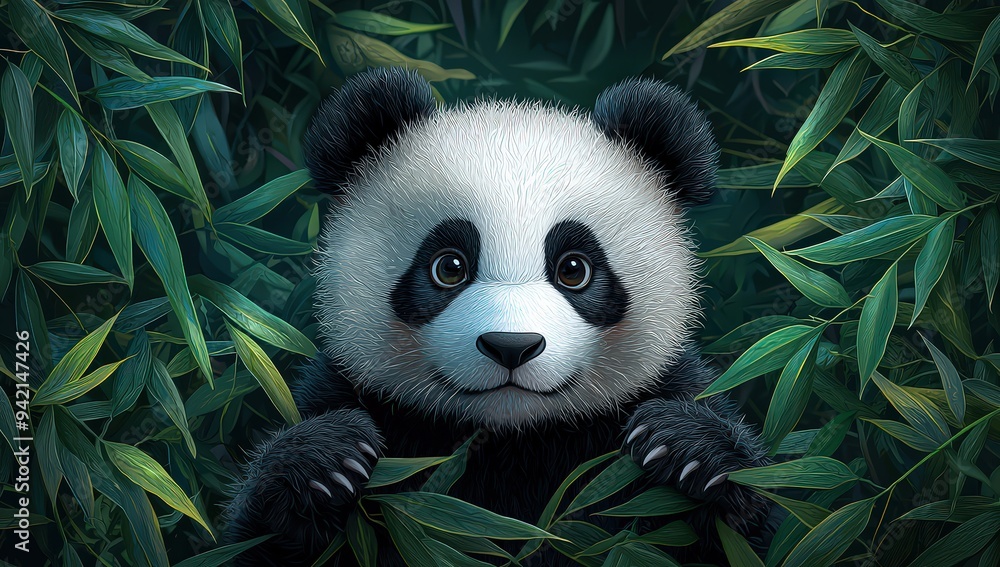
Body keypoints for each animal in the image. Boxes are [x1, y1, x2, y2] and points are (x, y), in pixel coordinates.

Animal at [226, 66, 771, 566]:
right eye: (449, 266)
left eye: (574, 269)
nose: (512, 345)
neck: (512, 438)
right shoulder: (354, 397)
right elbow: (258, 540)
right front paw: (323, 462)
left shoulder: (655, 396)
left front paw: (691, 452)